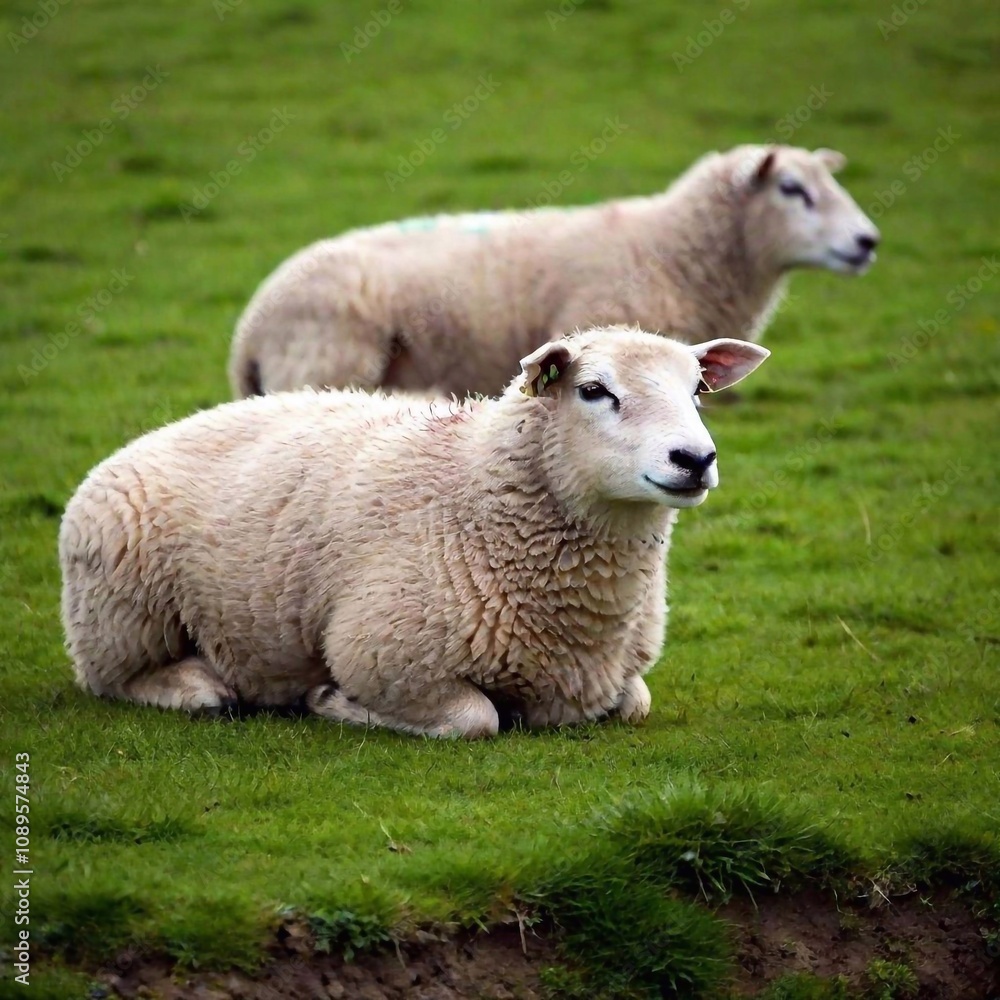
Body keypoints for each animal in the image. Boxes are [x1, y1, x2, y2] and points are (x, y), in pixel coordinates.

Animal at [61, 326, 769, 738]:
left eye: (697, 391)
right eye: (595, 390)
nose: (694, 459)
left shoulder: (608, 676)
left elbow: (634, 702)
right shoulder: (381, 653)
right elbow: (474, 719)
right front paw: (332, 702)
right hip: (122, 614)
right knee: (113, 679)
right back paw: (199, 688)